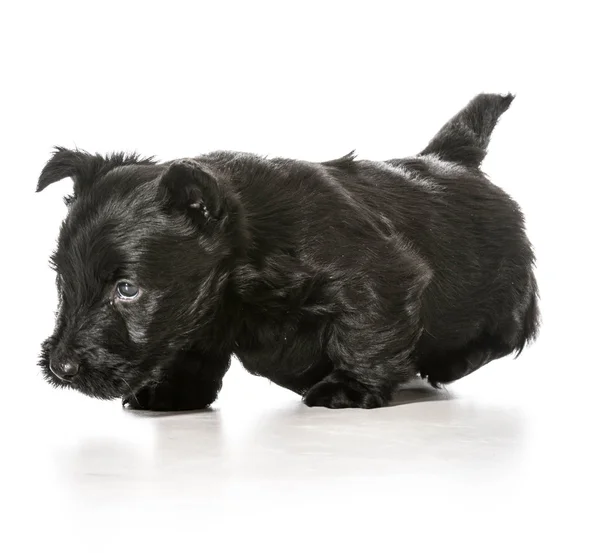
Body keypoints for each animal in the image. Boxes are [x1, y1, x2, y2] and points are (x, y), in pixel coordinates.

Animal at [37, 92, 540, 408]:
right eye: (62, 283)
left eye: (127, 288)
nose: (61, 367)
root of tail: (450, 159)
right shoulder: (201, 315)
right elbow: (188, 347)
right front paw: (171, 393)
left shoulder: (379, 274)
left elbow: (367, 330)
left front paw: (349, 388)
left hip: (503, 291)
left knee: (508, 331)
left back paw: (451, 361)